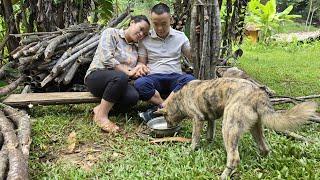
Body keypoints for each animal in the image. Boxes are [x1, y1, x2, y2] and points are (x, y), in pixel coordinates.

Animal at [156, 77, 316, 180]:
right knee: (264, 148)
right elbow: (209, 134)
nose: (169, 126)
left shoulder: (198, 119)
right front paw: (208, 144)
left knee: (234, 158)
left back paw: (224, 175)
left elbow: (195, 139)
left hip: (228, 127)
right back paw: (261, 162)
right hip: (255, 128)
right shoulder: (211, 118)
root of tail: (258, 94)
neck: (179, 99)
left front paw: (191, 150)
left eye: (166, 118)